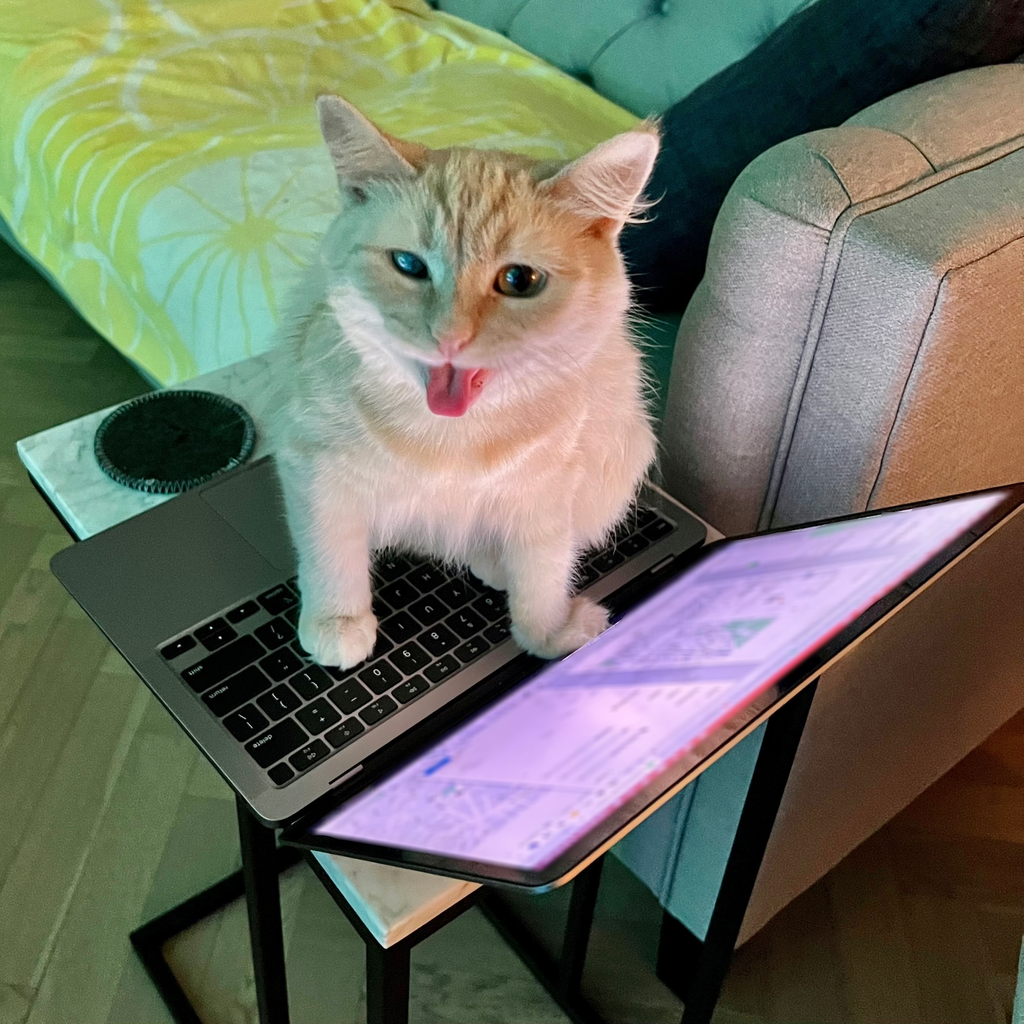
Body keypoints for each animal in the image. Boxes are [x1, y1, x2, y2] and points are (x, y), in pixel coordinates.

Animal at [273, 95, 659, 671]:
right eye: (408, 265)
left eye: (520, 280)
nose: (449, 337)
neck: (451, 439)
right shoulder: (313, 467)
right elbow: (330, 551)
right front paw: (338, 623)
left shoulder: (547, 494)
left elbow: (543, 577)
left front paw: (550, 636)